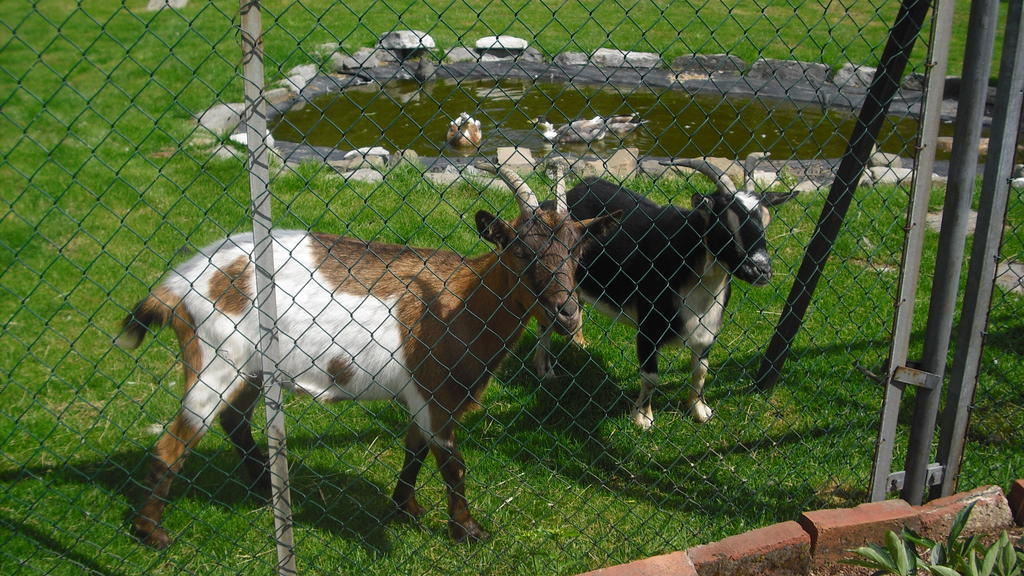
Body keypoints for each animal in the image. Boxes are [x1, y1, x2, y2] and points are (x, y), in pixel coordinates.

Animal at [117, 163, 614, 545]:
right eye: (520, 250)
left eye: (577, 248)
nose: (567, 313)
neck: (462, 300)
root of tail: (175, 285)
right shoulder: (436, 392)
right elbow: (452, 464)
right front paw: (468, 531)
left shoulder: (420, 396)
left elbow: (415, 450)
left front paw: (407, 507)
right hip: (216, 362)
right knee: (174, 442)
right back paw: (151, 532)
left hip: (252, 369)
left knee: (234, 420)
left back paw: (264, 488)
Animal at [532, 156, 794, 426]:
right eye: (724, 224)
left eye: (765, 222)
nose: (761, 270)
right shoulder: (649, 327)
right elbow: (651, 377)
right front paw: (642, 418)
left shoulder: (708, 330)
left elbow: (701, 371)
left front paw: (700, 410)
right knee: (545, 322)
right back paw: (545, 371)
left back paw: (579, 343)